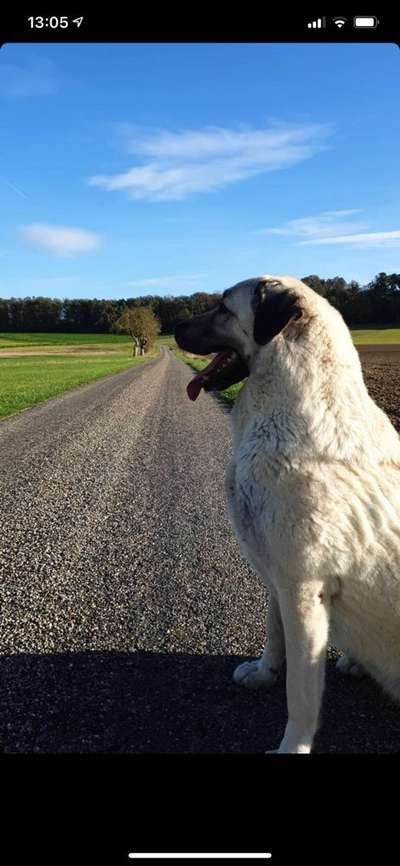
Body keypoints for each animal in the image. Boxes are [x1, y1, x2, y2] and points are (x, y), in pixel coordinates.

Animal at [177, 276, 400, 748]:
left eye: (223, 307)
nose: (173, 326)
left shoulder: (302, 589)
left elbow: (300, 692)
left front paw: (290, 747)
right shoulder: (276, 577)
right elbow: (273, 633)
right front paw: (264, 673)